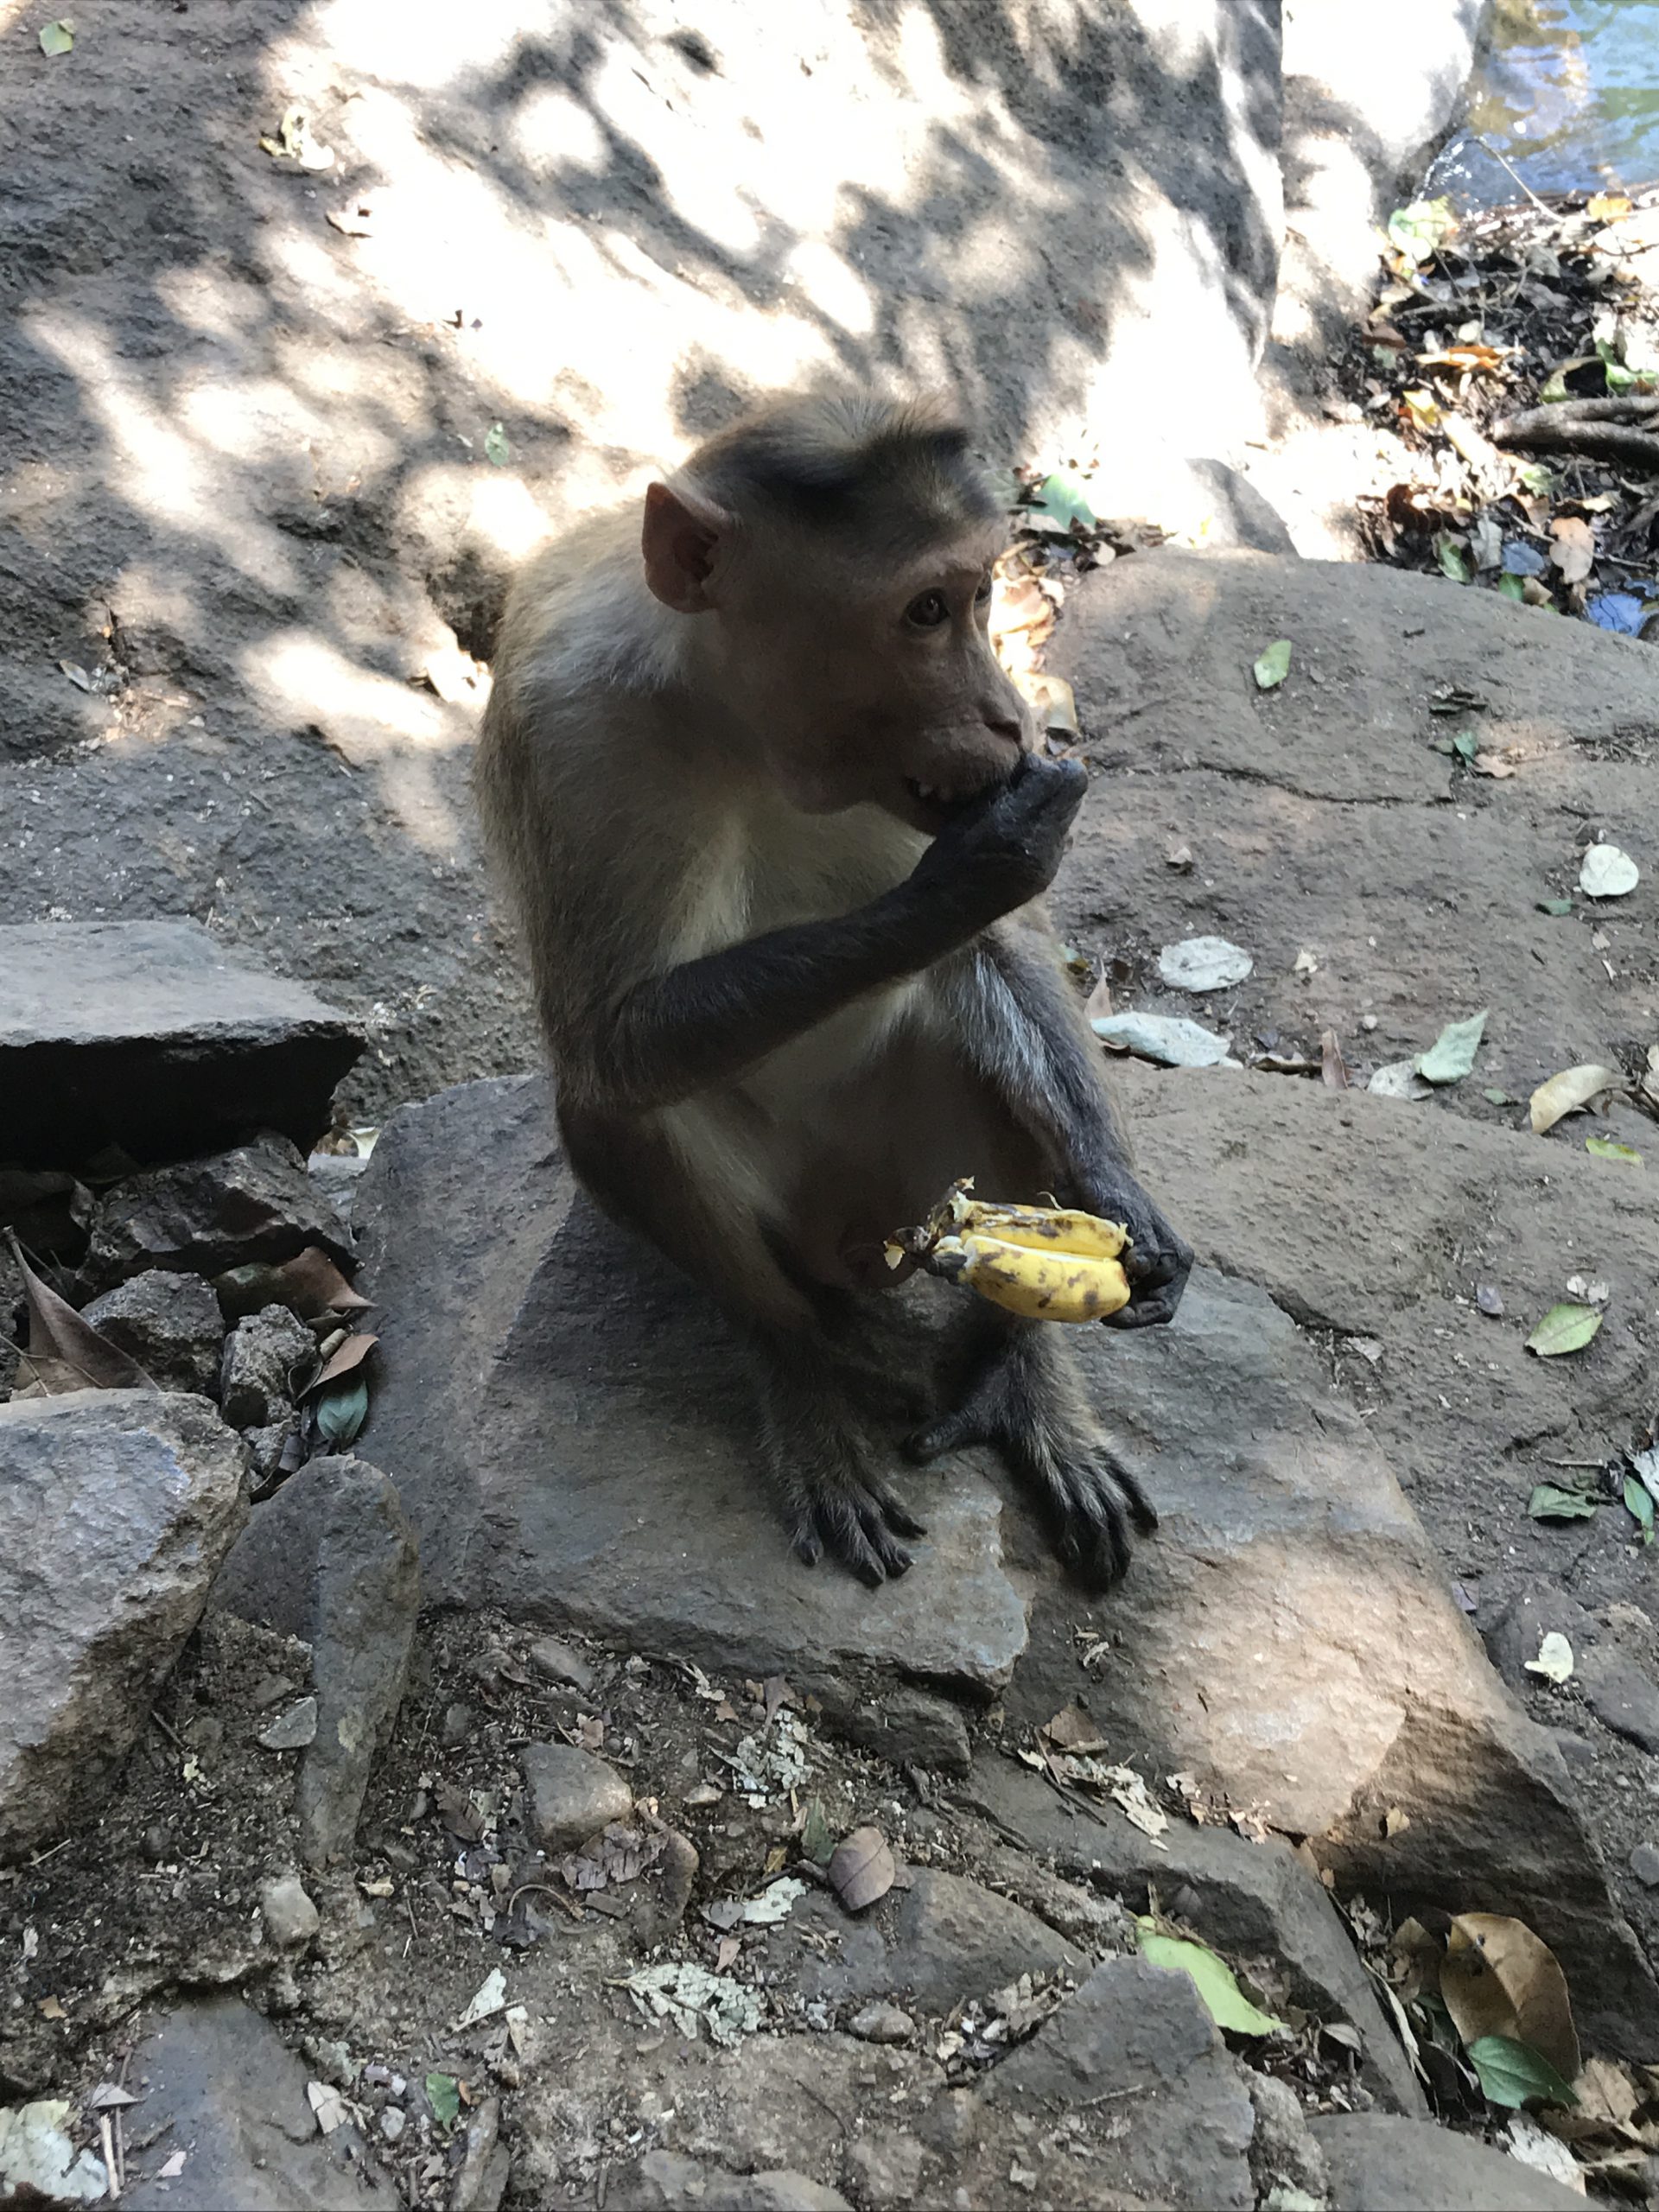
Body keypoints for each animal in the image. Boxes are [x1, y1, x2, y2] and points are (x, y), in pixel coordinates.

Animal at [480, 389, 1194, 1583]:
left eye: (981, 594)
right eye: (923, 611)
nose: (1009, 716)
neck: (733, 721)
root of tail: (869, 1244)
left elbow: (1006, 948)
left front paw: (1118, 1194)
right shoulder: (567, 728)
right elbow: (608, 1043)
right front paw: (976, 871)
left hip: (920, 1173)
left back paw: (1016, 1369)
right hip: (806, 1233)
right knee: (616, 1114)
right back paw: (803, 1375)